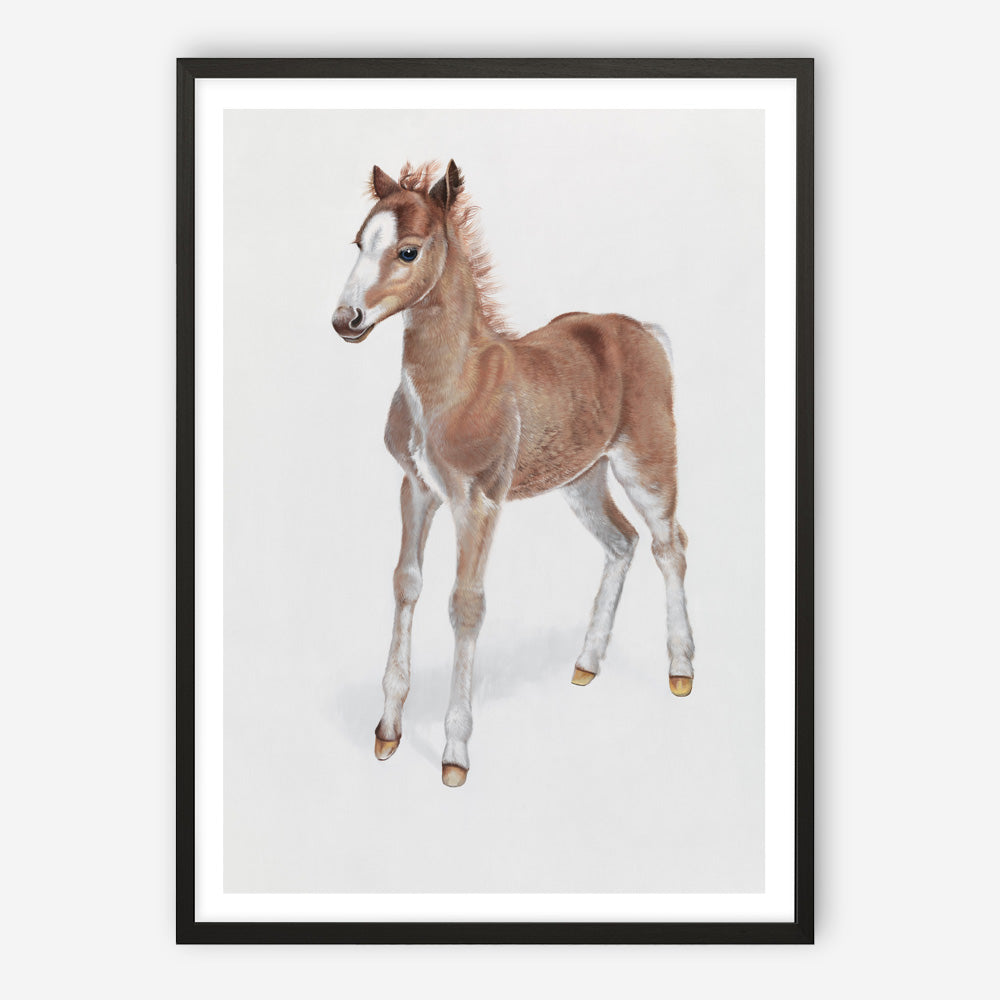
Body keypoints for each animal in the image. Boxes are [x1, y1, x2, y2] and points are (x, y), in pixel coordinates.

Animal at [332, 160, 695, 787]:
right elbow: (406, 584)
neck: (453, 384)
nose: (344, 319)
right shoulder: (417, 490)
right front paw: (387, 732)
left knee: (669, 545)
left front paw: (454, 753)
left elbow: (466, 605)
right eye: (359, 242)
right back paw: (586, 664)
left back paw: (680, 670)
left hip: (647, 466)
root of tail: (646, 330)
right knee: (621, 542)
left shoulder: (477, 502)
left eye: (408, 250)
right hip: (582, 479)